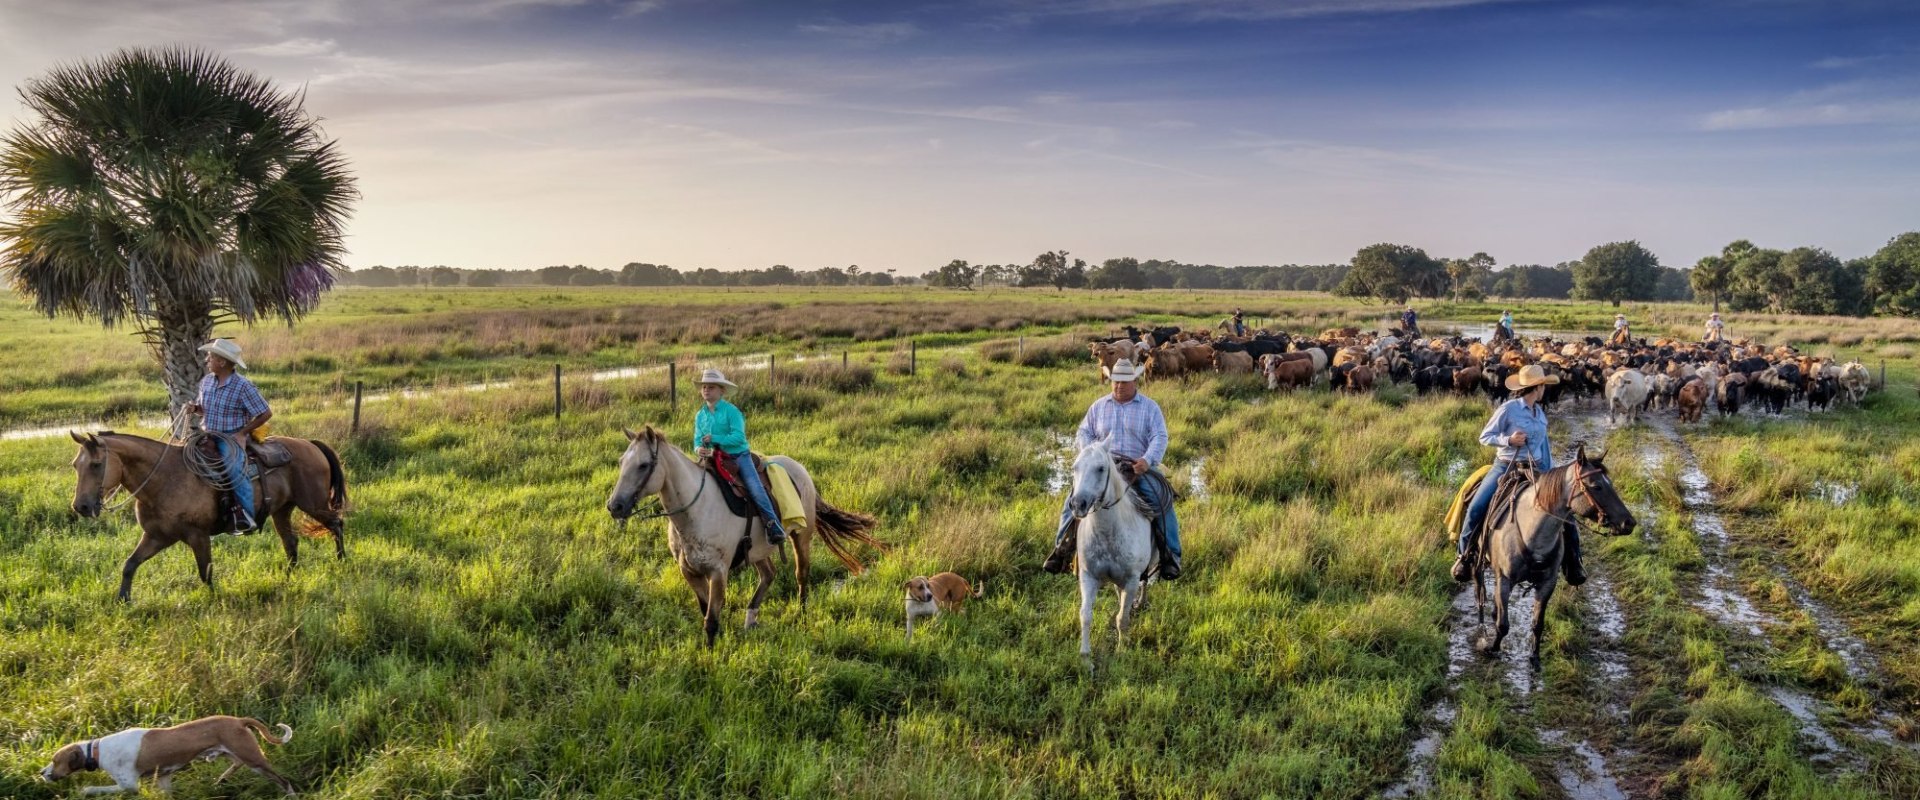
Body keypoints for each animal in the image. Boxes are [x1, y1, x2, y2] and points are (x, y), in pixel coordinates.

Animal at [41, 709, 293, 790]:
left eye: (55, 761)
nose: (41, 773)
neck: (96, 751)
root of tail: (239, 720)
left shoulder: (129, 786)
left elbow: (93, 789)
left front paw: (85, 791)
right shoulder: (163, 778)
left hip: (254, 760)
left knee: (284, 781)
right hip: (236, 753)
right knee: (236, 764)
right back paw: (221, 779)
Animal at [66, 429, 349, 598]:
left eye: (96, 464)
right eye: (75, 465)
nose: (81, 506)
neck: (165, 478)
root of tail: (309, 444)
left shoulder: (198, 536)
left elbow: (205, 573)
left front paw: (214, 601)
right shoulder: (156, 537)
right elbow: (130, 565)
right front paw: (123, 600)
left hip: (314, 504)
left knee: (337, 524)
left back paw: (341, 561)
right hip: (282, 510)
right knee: (290, 542)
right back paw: (289, 577)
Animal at [602, 427, 879, 644]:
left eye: (643, 465)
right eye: (621, 462)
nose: (615, 506)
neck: (696, 509)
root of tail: (799, 468)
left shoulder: (718, 572)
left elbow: (711, 620)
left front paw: (709, 660)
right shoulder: (689, 571)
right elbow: (705, 610)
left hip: (801, 536)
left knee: (801, 575)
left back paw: (801, 615)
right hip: (757, 550)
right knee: (768, 574)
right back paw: (751, 619)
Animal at [1067, 437, 1152, 656]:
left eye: (1101, 468)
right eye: (1075, 467)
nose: (1078, 504)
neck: (1108, 533)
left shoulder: (1131, 580)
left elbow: (1122, 618)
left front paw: (1122, 650)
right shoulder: (1088, 576)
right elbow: (1085, 615)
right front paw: (1085, 656)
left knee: (1146, 581)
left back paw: (1140, 602)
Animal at [1474, 443, 1628, 667]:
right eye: (1596, 486)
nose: (1629, 522)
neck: (1533, 532)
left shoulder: (1547, 583)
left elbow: (1537, 624)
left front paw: (1534, 658)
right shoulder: (1504, 579)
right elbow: (1503, 625)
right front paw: (1491, 648)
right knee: (1479, 592)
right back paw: (1481, 626)